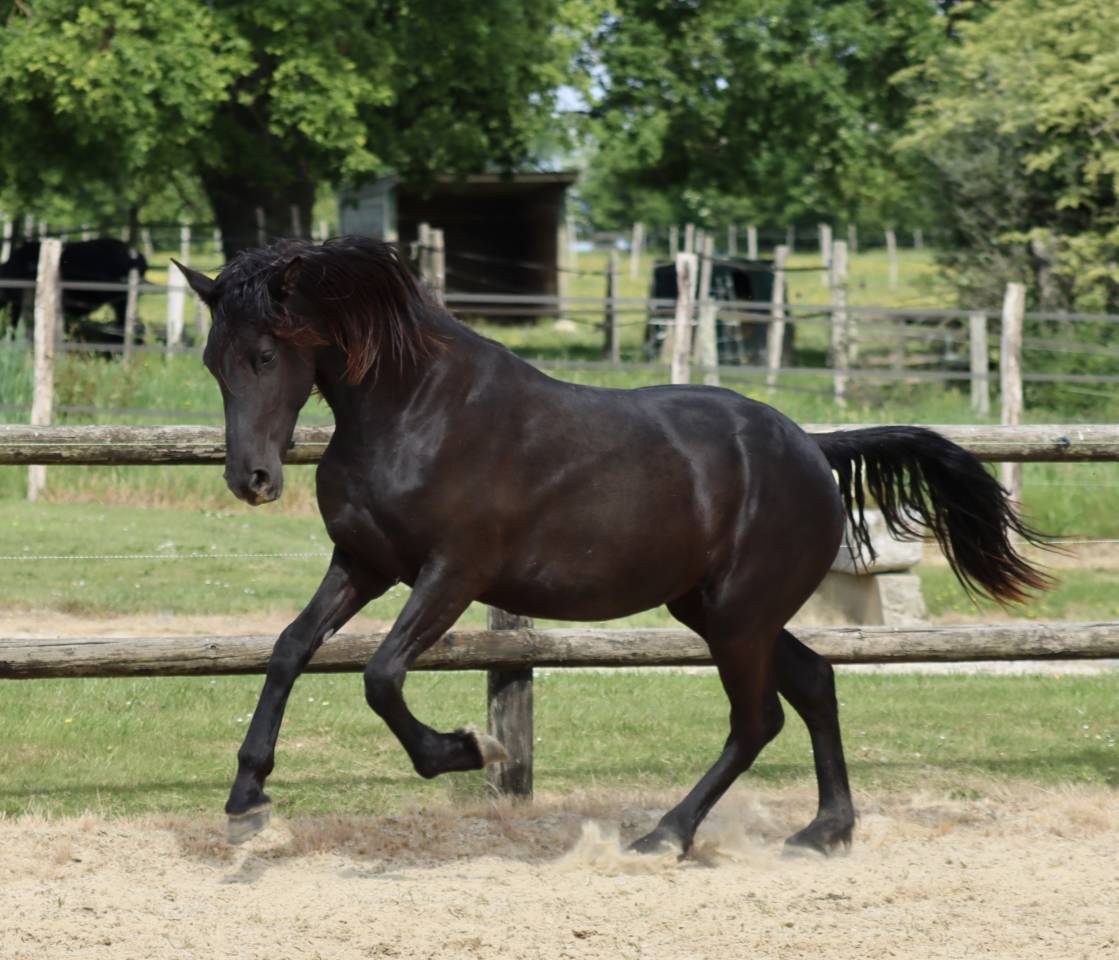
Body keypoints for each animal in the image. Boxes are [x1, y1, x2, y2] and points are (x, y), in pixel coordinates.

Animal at [174, 237, 1049, 853]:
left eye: (264, 354)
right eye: (213, 360)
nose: (251, 479)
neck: (414, 409)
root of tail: (811, 446)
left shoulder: (450, 574)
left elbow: (381, 675)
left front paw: (469, 749)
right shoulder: (363, 565)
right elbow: (289, 650)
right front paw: (247, 801)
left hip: (738, 617)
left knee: (757, 718)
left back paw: (665, 836)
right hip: (720, 610)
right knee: (814, 684)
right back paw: (821, 833)